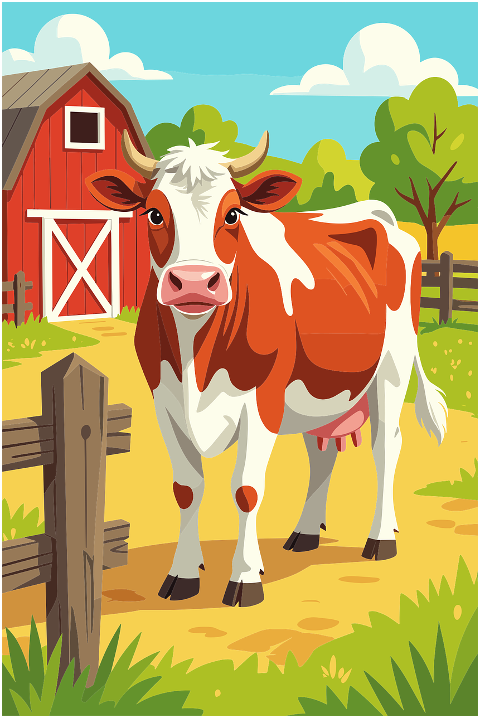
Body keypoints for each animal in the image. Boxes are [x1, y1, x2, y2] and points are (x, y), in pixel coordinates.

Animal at [86, 131, 447, 607]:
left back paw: (380, 538)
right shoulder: (164, 402)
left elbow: (246, 489)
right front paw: (183, 574)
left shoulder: (261, 403)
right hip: (319, 389)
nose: (195, 283)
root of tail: (378, 214)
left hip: (392, 367)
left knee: (385, 447)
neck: (196, 360)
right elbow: (186, 489)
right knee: (322, 453)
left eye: (233, 214)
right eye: (155, 213)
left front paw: (244, 578)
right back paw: (306, 533)